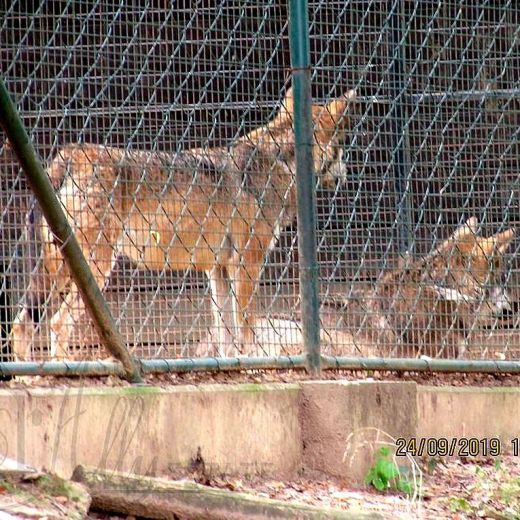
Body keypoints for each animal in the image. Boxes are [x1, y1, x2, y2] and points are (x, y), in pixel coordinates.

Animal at [11, 86, 358, 362]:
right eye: (343, 146)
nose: (346, 175)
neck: (281, 161)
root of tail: (70, 155)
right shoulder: (247, 263)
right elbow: (246, 326)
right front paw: (254, 362)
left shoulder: (218, 270)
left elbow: (225, 333)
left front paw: (232, 365)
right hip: (91, 269)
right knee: (57, 323)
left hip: (57, 271)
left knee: (22, 322)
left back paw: (30, 376)